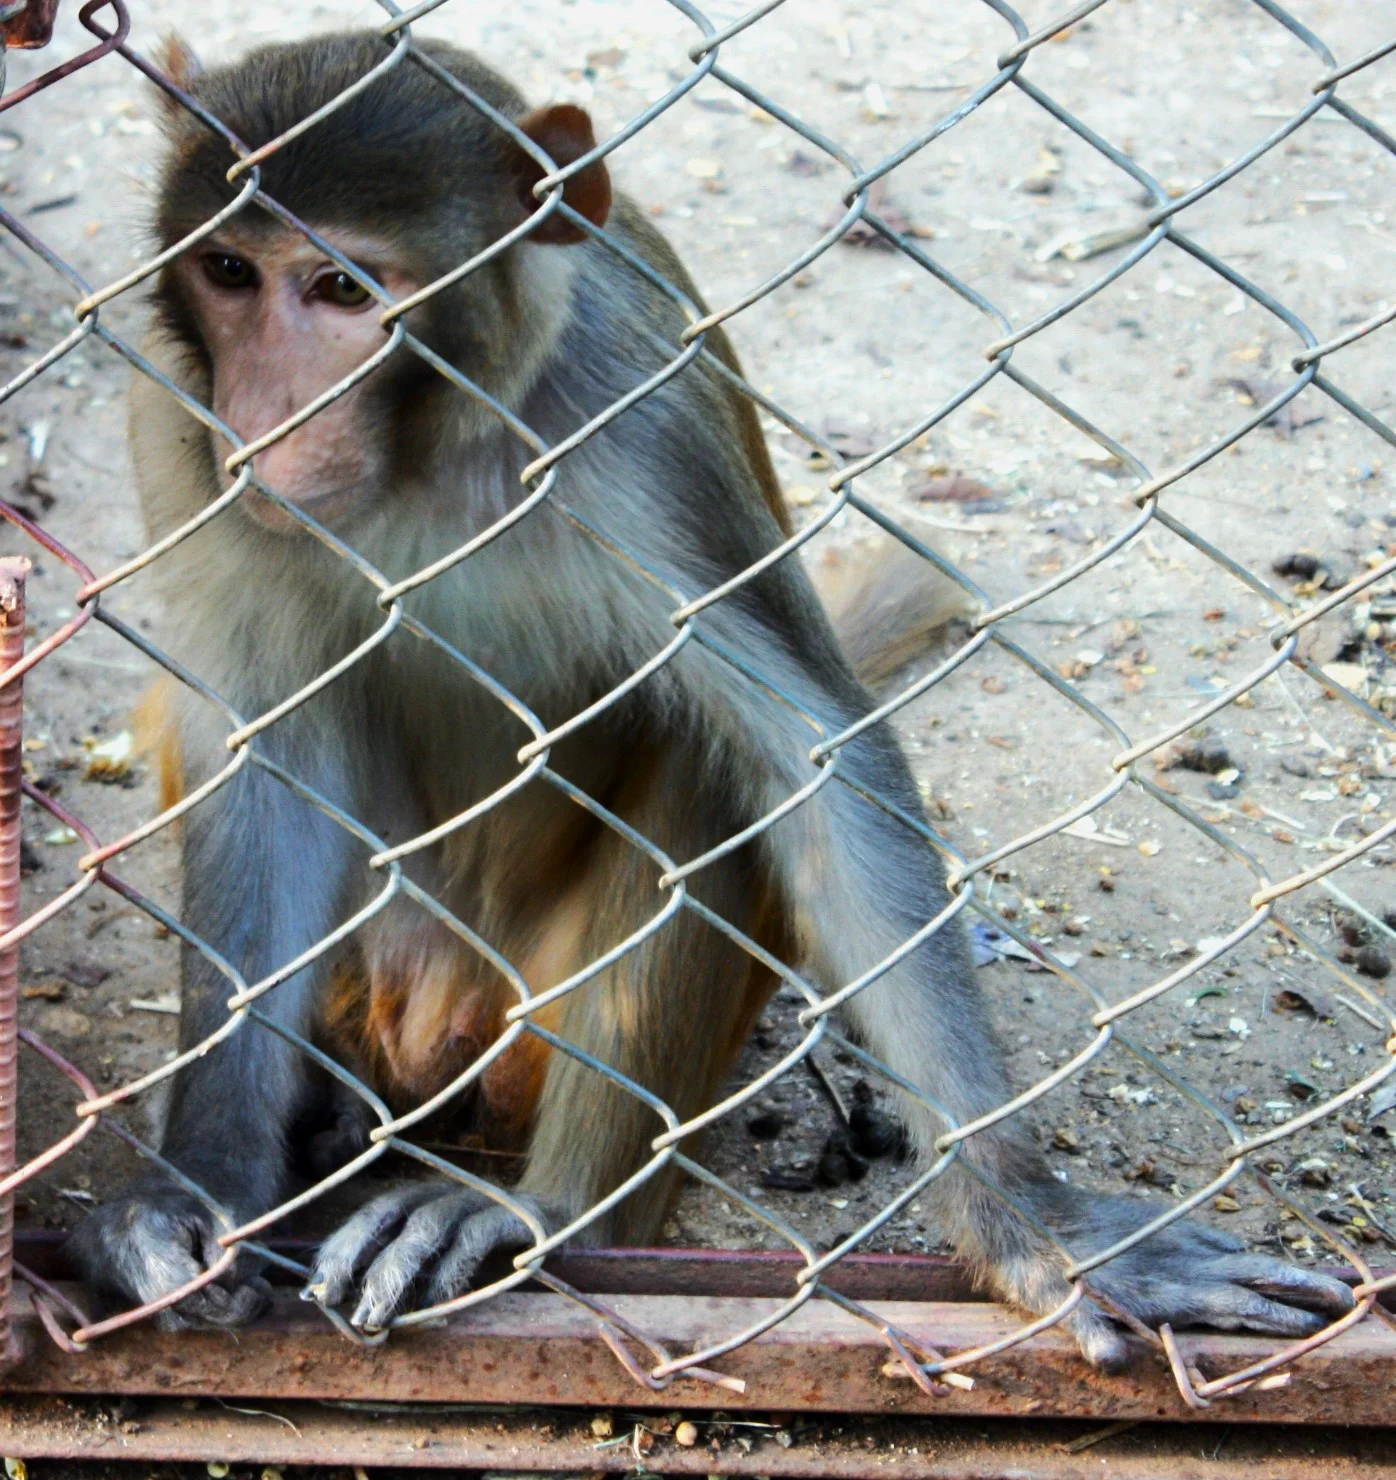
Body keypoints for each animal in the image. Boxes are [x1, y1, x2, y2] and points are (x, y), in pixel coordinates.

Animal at [67, 32, 1354, 1364]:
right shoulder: (176, 418)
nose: (270, 413)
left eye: (340, 288)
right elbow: (264, 752)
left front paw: (1033, 1225)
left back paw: (547, 1213)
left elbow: (814, 755)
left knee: (704, 758)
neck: (429, 445)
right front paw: (198, 1189)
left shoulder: (647, 422)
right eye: (228, 270)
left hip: (532, 1014)